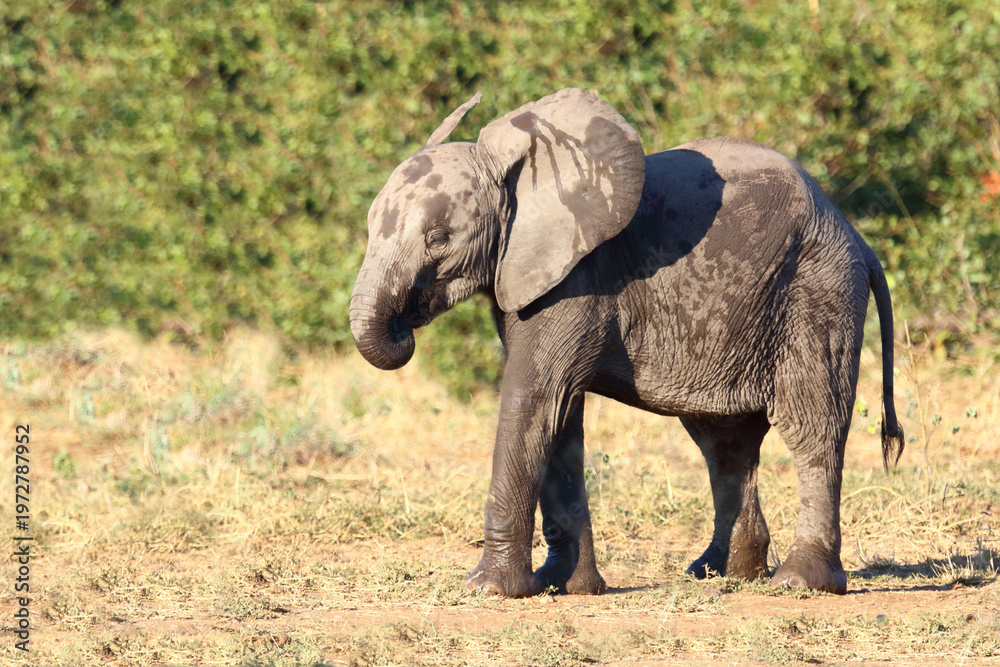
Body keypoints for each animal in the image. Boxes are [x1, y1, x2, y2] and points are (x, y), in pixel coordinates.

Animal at [350, 88, 904, 597]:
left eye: (438, 238)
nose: (404, 327)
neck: (521, 179)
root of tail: (856, 236)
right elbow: (561, 418)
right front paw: (564, 586)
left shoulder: (578, 278)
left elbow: (533, 401)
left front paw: (488, 589)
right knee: (725, 444)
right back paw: (720, 573)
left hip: (817, 291)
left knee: (812, 426)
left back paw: (800, 582)